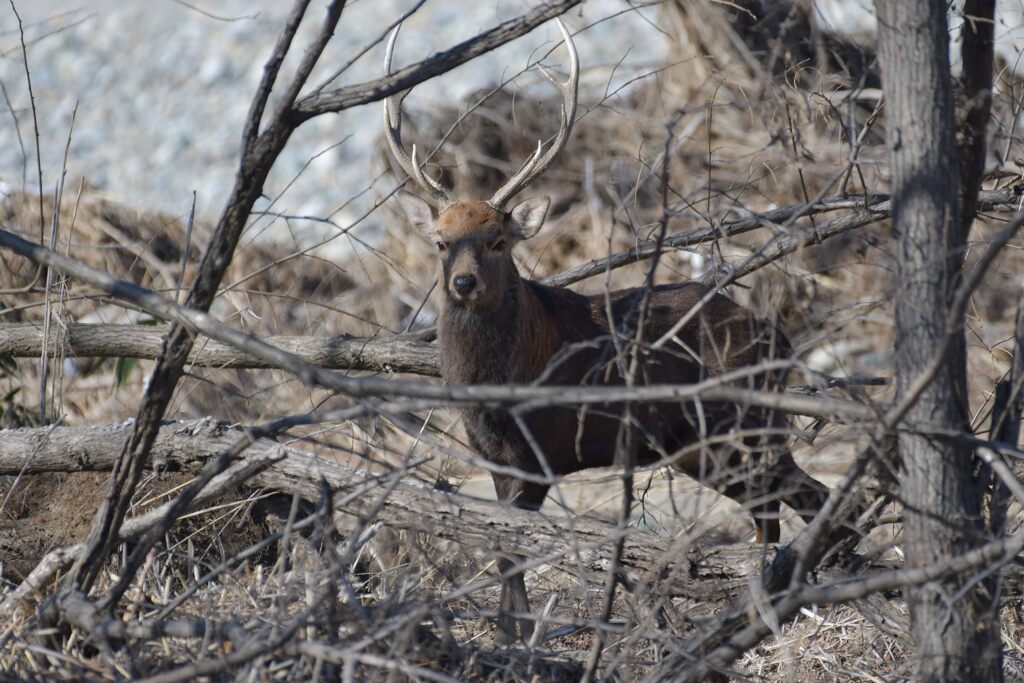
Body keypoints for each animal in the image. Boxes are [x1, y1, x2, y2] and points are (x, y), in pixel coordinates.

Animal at [385, 18, 839, 643]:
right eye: (439, 241)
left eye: (498, 240)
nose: (463, 282)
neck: (497, 383)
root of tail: (780, 338)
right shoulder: (491, 455)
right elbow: (502, 549)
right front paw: (509, 632)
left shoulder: (540, 452)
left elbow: (514, 550)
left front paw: (519, 634)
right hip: (706, 445)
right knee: (774, 507)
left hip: (740, 426)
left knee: (807, 495)